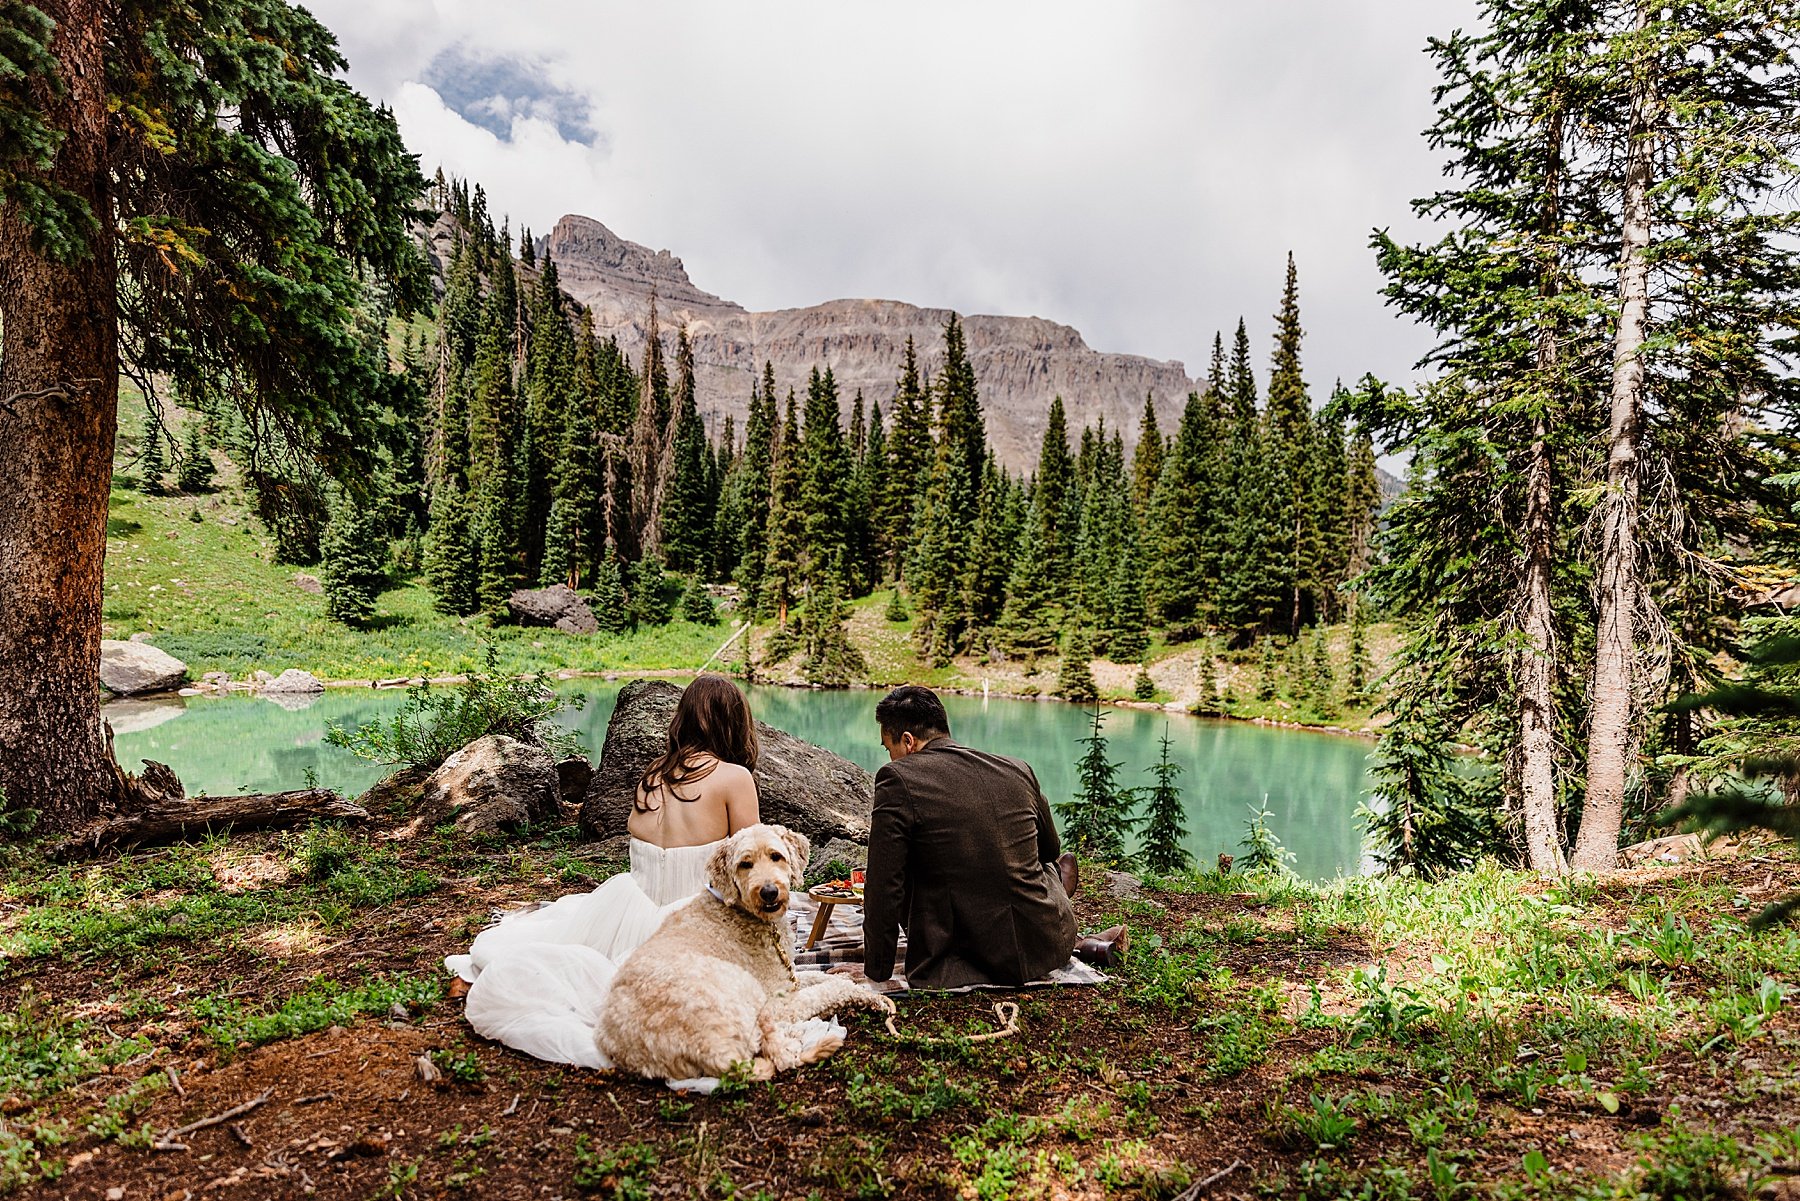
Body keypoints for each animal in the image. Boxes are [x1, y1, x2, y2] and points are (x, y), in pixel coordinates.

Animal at [597, 828, 892, 1080]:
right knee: (782, 1054)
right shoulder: (778, 997)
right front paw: (869, 996)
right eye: (744, 864)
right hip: (745, 991)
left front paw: (849, 980)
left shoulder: (786, 979)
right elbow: (830, 989)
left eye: (776, 856)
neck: (744, 913)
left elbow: (819, 978)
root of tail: (715, 1055)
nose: (769, 892)